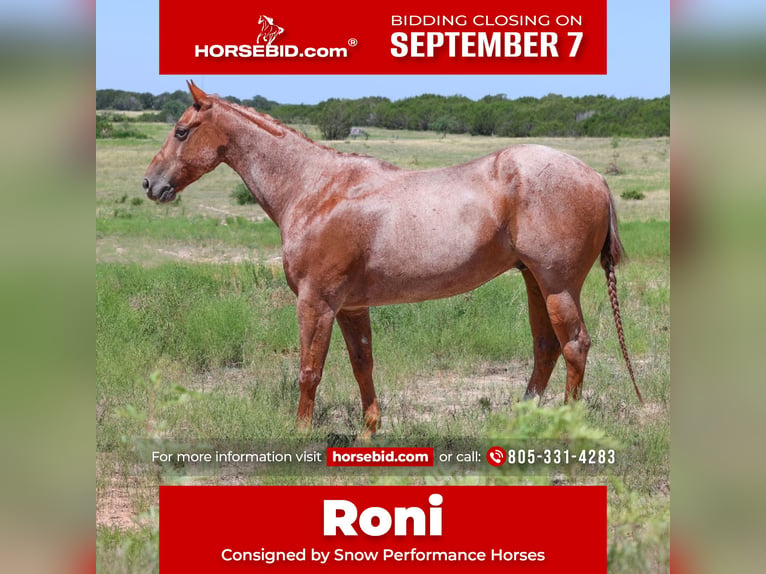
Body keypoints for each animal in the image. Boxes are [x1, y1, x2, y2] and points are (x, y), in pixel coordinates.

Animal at [143, 81, 643, 437]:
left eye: (181, 131)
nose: (150, 184)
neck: (317, 189)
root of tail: (595, 176)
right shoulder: (351, 307)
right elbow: (362, 364)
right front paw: (369, 432)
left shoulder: (316, 303)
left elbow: (310, 370)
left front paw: (300, 435)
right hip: (534, 281)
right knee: (546, 348)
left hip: (558, 285)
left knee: (574, 345)